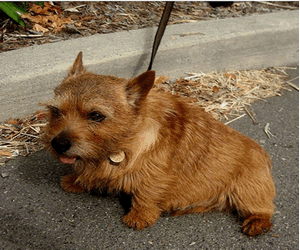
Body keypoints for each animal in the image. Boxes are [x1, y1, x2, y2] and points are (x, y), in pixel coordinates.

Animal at [43, 52, 276, 236]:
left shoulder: (154, 174)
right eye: (55, 111)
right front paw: (77, 180)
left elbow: (146, 192)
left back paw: (256, 223)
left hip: (249, 189)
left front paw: (140, 215)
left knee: (264, 210)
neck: (125, 143)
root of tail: (265, 156)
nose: (58, 144)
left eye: (96, 115)